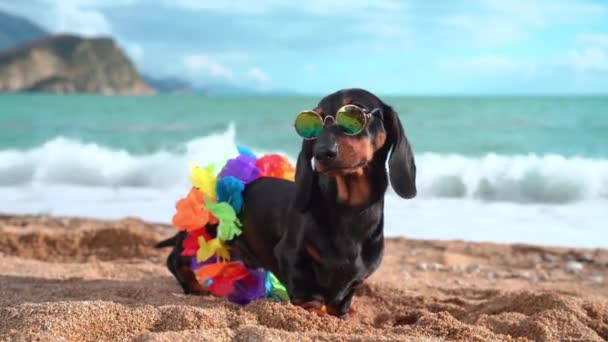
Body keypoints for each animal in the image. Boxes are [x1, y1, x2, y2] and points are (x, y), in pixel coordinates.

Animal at [156, 87, 418, 318]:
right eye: (313, 123)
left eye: (355, 113)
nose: (322, 153)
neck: (349, 211)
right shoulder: (291, 255)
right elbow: (307, 294)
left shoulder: (356, 279)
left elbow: (341, 301)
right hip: (208, 231)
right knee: (175, 259)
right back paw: (195, 287)